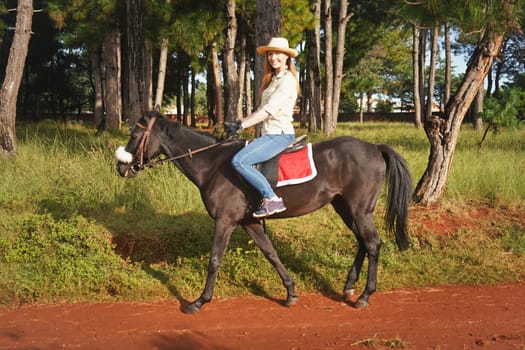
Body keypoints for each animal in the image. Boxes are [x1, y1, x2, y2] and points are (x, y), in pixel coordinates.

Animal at [115, 112, 414, 314]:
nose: (121, 167)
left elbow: (214, 259)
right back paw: (349, 286)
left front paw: (199, 301)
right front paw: (290, 291)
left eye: (135, 135)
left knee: (373, 243)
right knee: (363, 242)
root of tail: (374, 147)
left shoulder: (225, 221)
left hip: (359, 209)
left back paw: (365, 295)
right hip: (344, 207)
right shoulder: (250, 222)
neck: (212, 163)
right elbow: (271, 253)